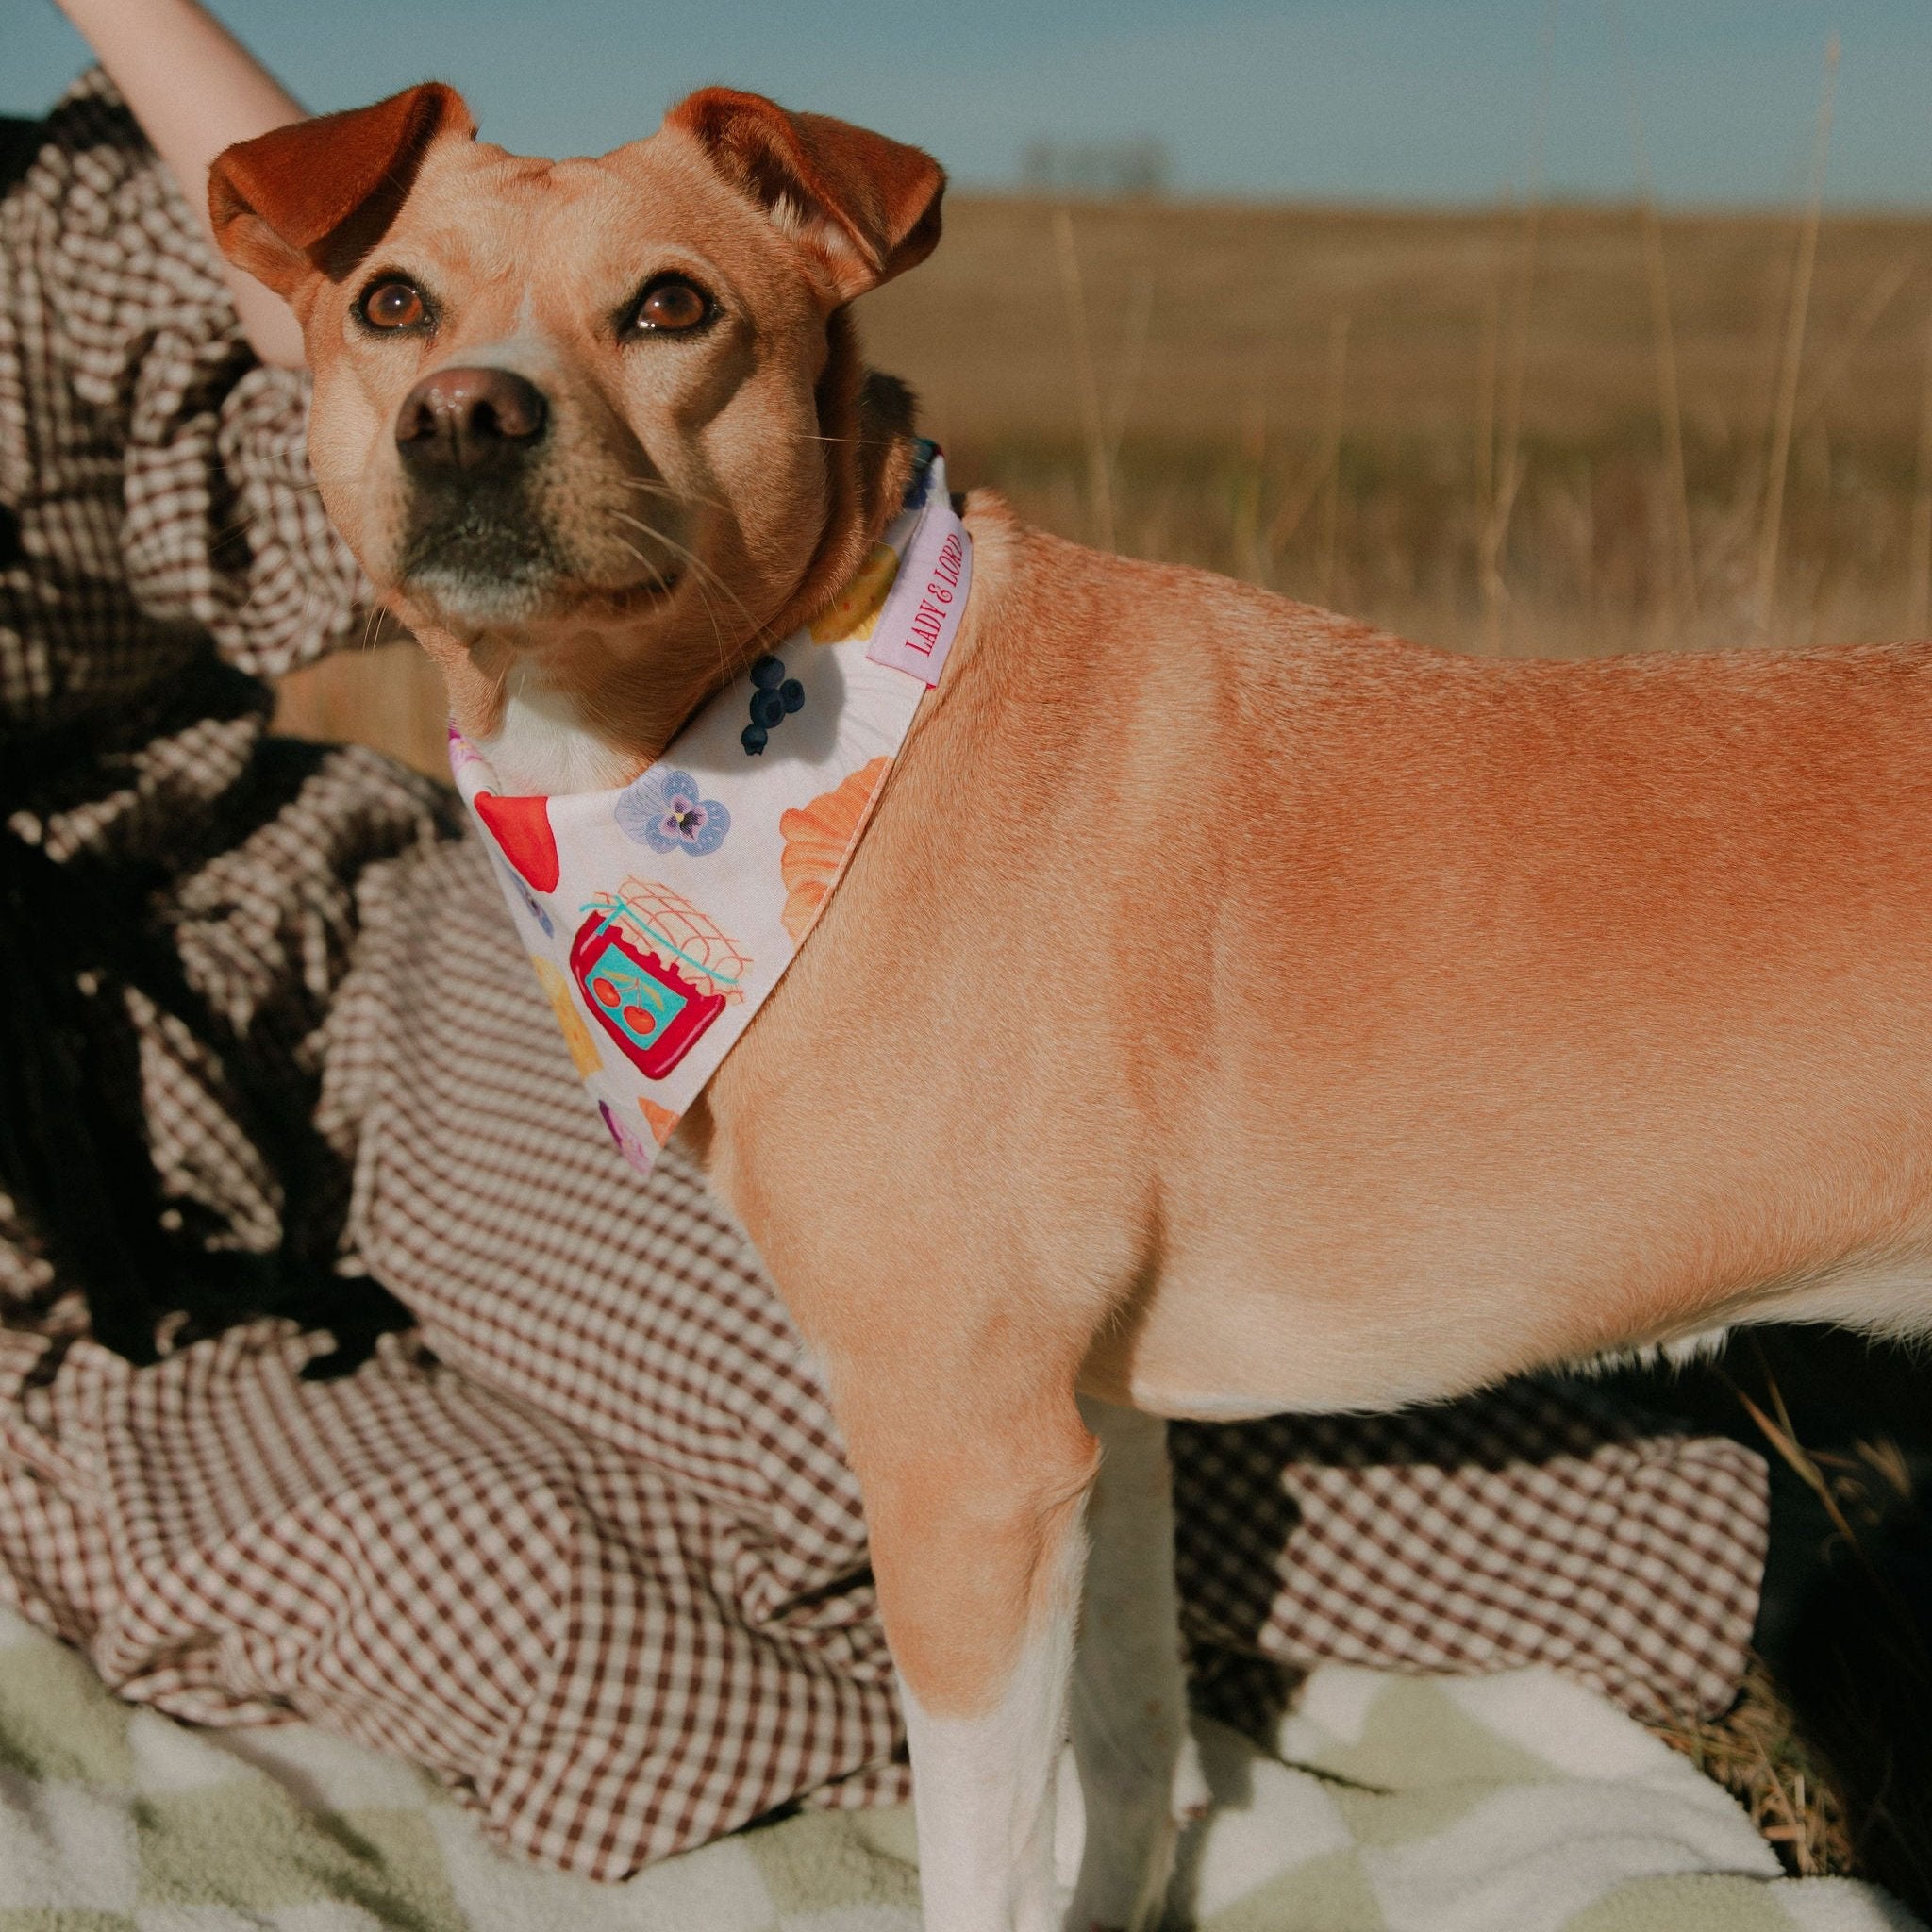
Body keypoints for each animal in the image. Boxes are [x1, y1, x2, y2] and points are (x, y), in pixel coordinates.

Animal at [208, 87, 1932, 1932]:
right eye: (392, 302)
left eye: (671, 305)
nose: (466, 418)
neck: (809, 728)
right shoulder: (1096, 1424)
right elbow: (1122, 1737)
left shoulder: (962, 1464)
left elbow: (981, 1851)